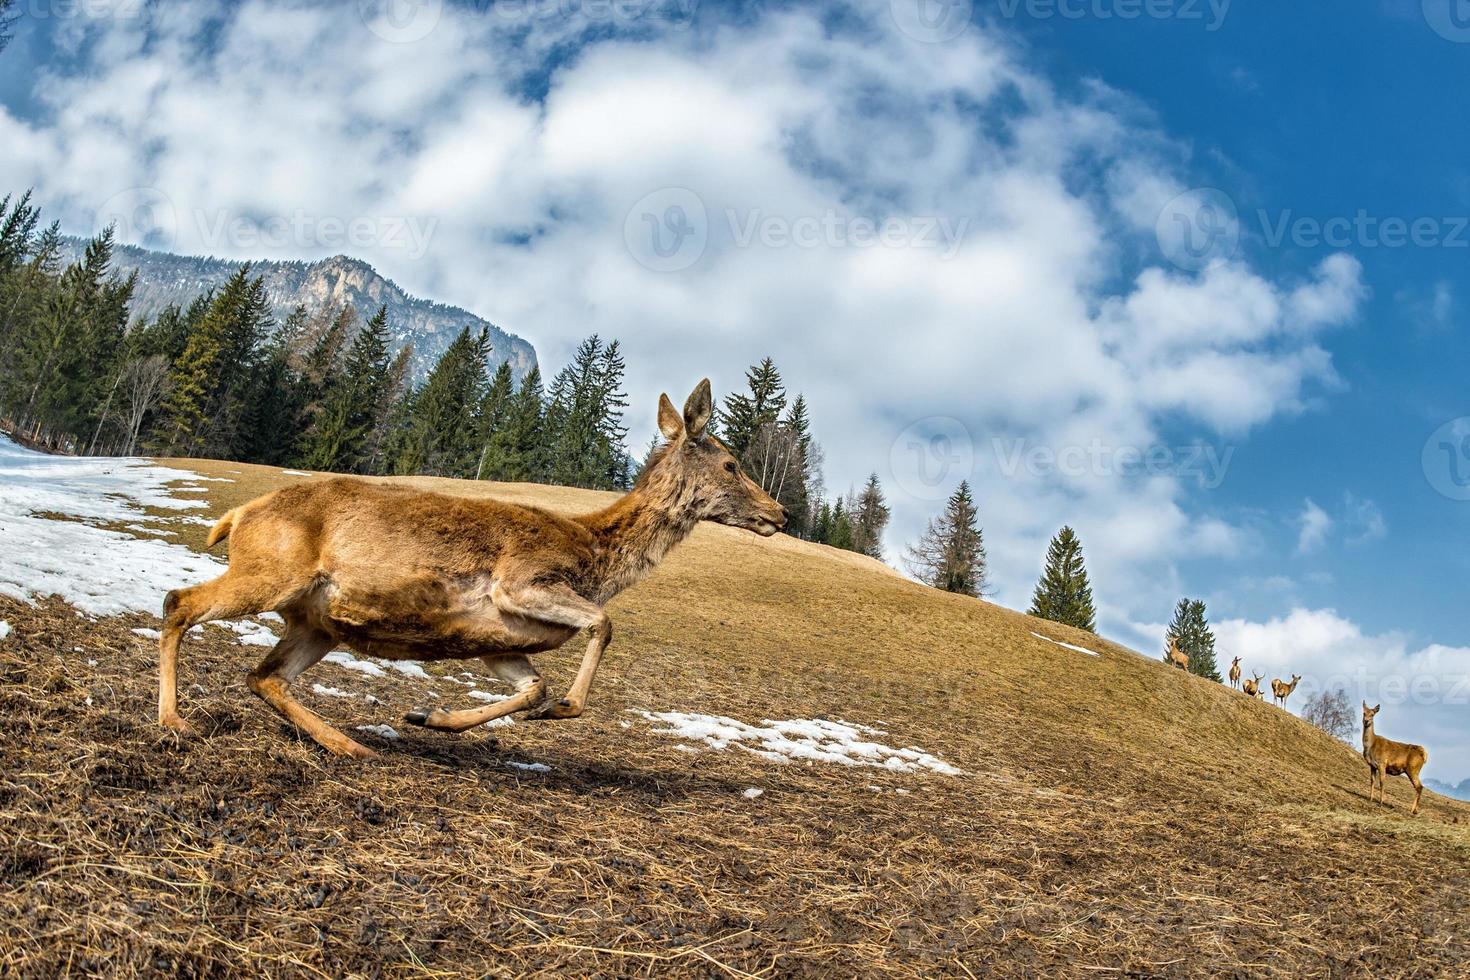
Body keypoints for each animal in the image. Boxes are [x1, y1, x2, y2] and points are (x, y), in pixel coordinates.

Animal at [155, 382, 787, 758]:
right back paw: (175, 721)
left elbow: (533, 687)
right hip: (271, 572)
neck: (596, 557)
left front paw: (428, 715)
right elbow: (604, 624)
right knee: (178, 601)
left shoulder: (497, 638)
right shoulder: (522, 582)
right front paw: (566, 706)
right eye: (732, 463)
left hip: (316, 622)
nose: (780, 513)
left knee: (264, 675)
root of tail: (237, 516)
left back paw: (349, 745)